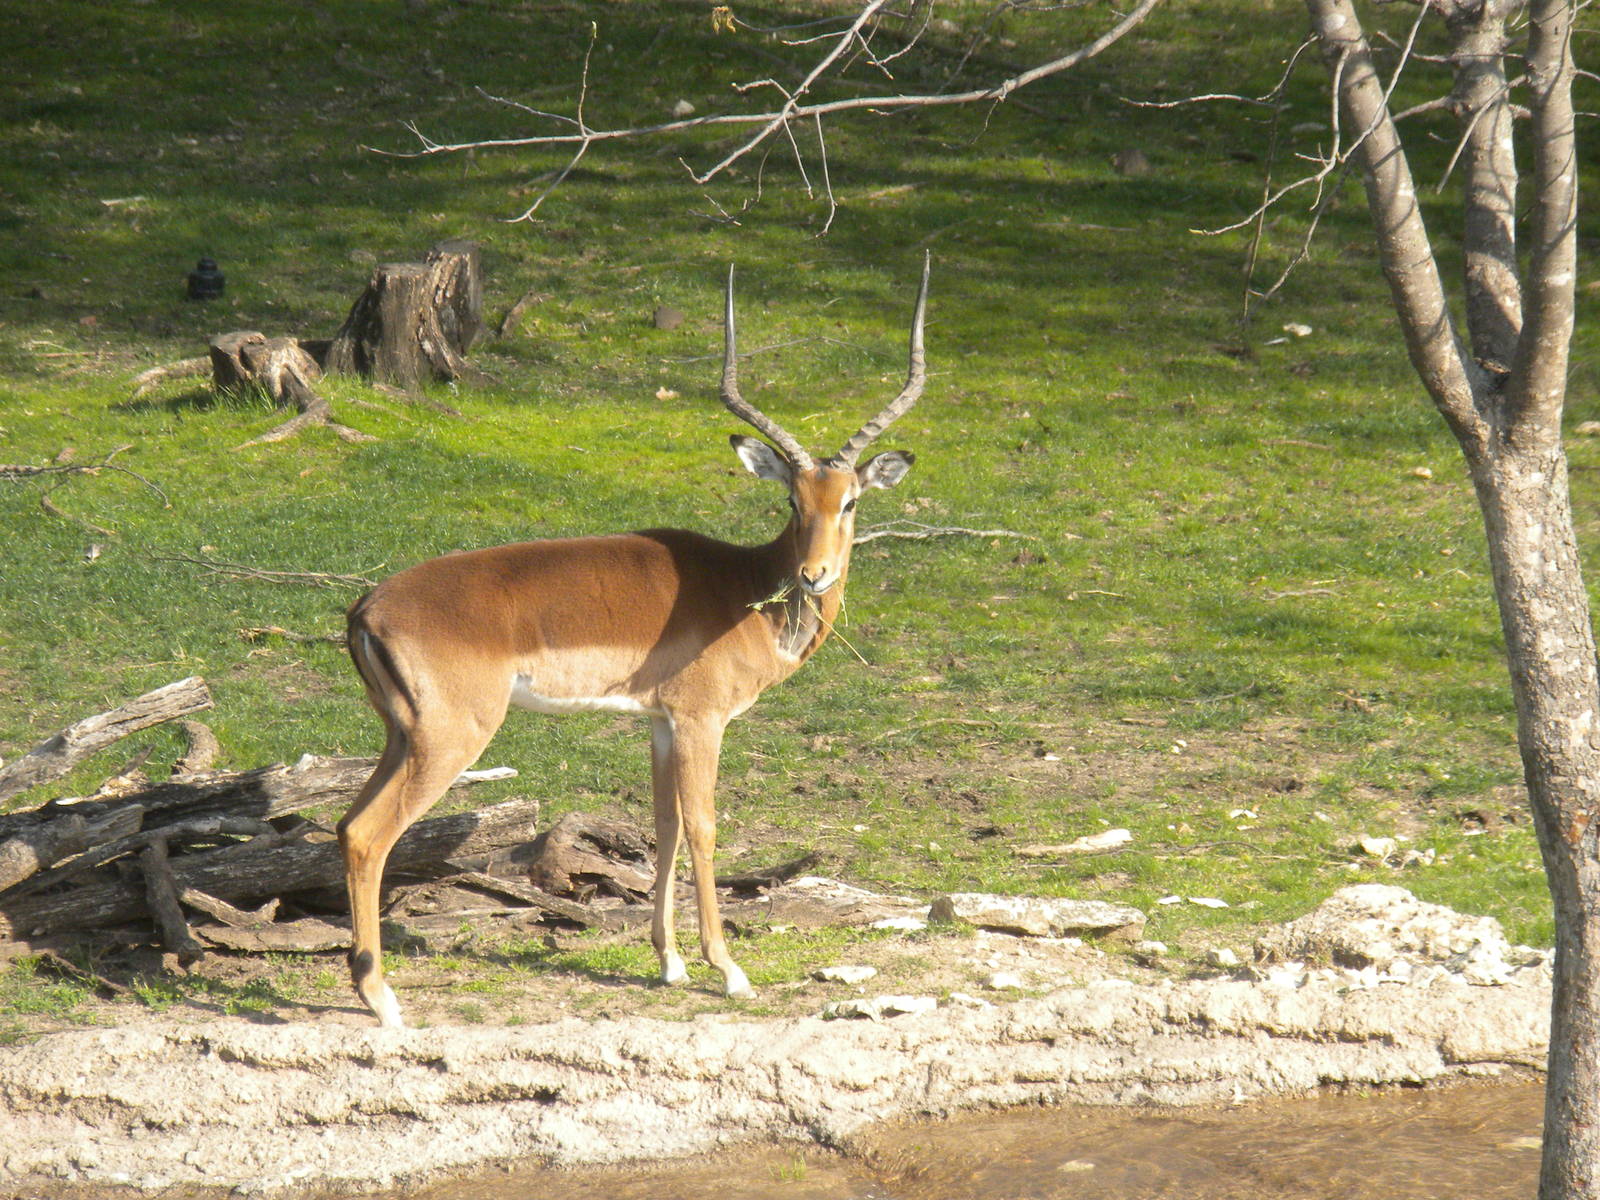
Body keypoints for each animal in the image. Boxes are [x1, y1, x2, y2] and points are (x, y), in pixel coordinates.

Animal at [338, 257, 930, 1027]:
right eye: (792, 501)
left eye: (849, 501)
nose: (815, 573)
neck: (745, 588)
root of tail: (364, 609)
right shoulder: (702, 720)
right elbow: (703, 825)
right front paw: (728, 971)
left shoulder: (659, 722)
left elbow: (665, 825)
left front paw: (671, 963)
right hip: (449, 739)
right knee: (369, 836)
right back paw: (381, 1000)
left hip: (399, 737)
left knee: (345, 825)